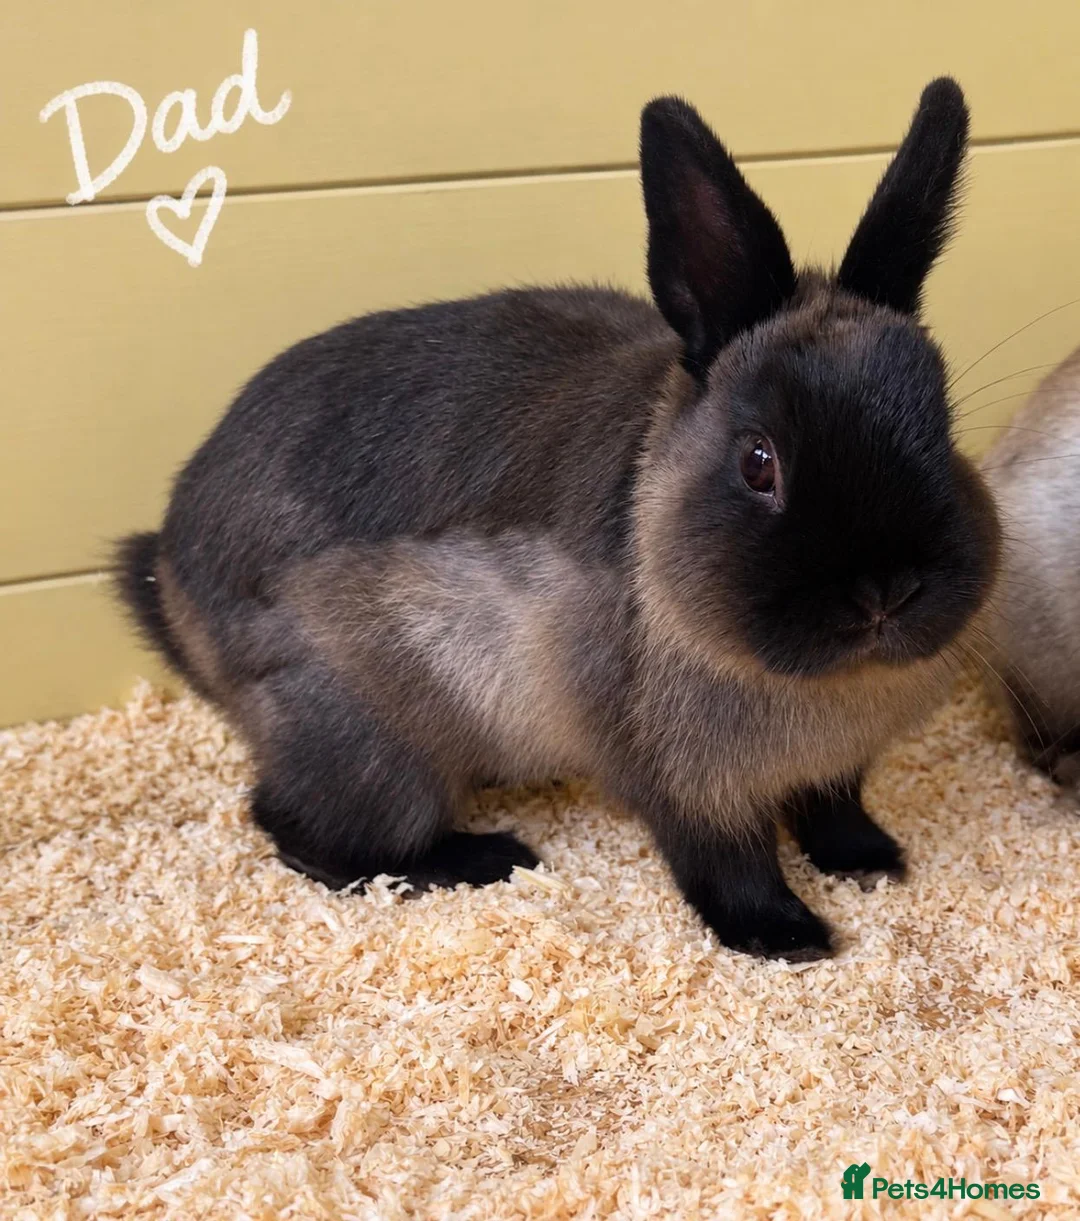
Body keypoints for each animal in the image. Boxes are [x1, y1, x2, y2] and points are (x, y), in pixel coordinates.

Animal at [116, 77, 1000, 961]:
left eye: (943, 426)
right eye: (759, 460)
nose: (884, 592)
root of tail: (172, 574)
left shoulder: (835, 769)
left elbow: (835, 809)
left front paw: (872, 862)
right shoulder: (683, 783)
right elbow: (728, 862)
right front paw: (788, 936)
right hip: (372, 753)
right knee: (298, 830)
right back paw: (483, 859)